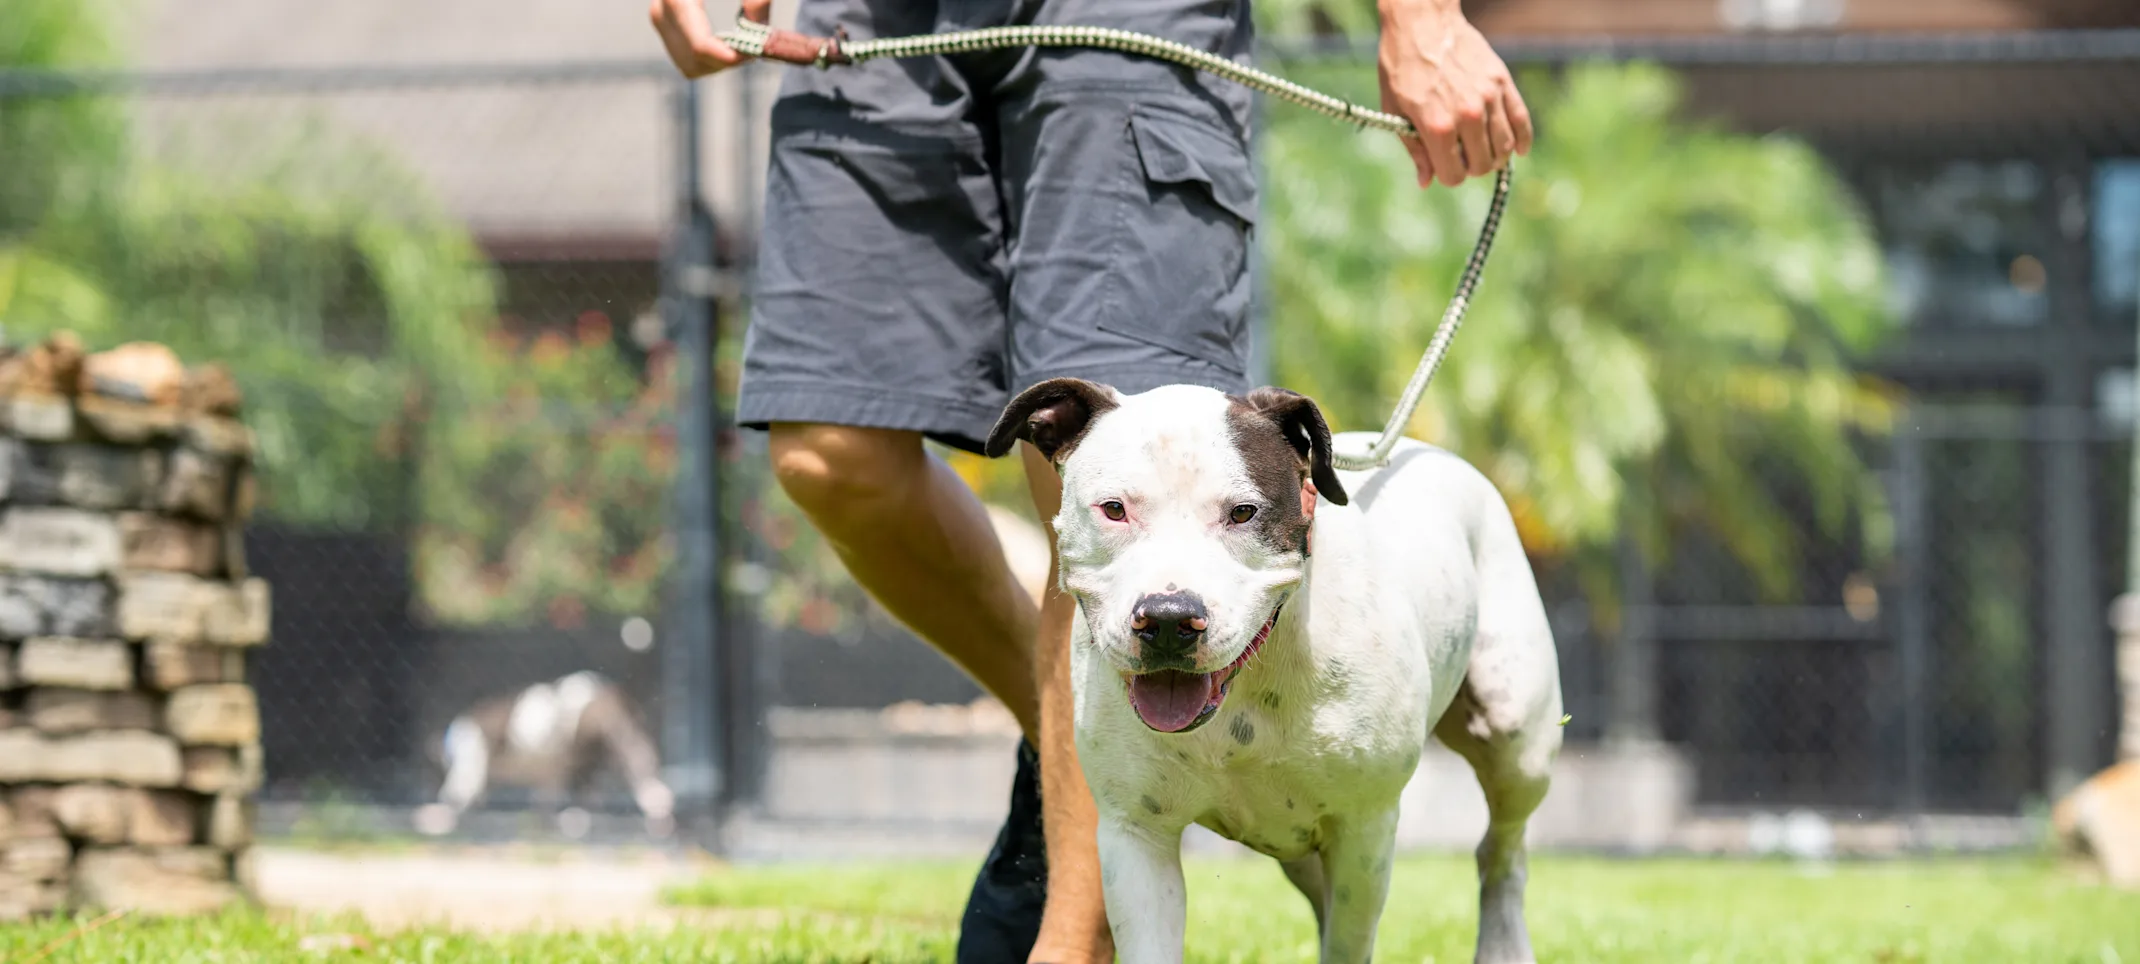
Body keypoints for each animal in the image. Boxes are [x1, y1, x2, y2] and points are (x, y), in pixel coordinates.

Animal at [988, 381, 1575, 959]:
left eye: (1243, 512)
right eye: (1114, 509)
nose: (1170, 619)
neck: (1247, 687)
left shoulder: (1364, 832)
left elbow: (1348, 944)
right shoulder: (1137, 834)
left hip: (1517, 742)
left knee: (1503, 853)